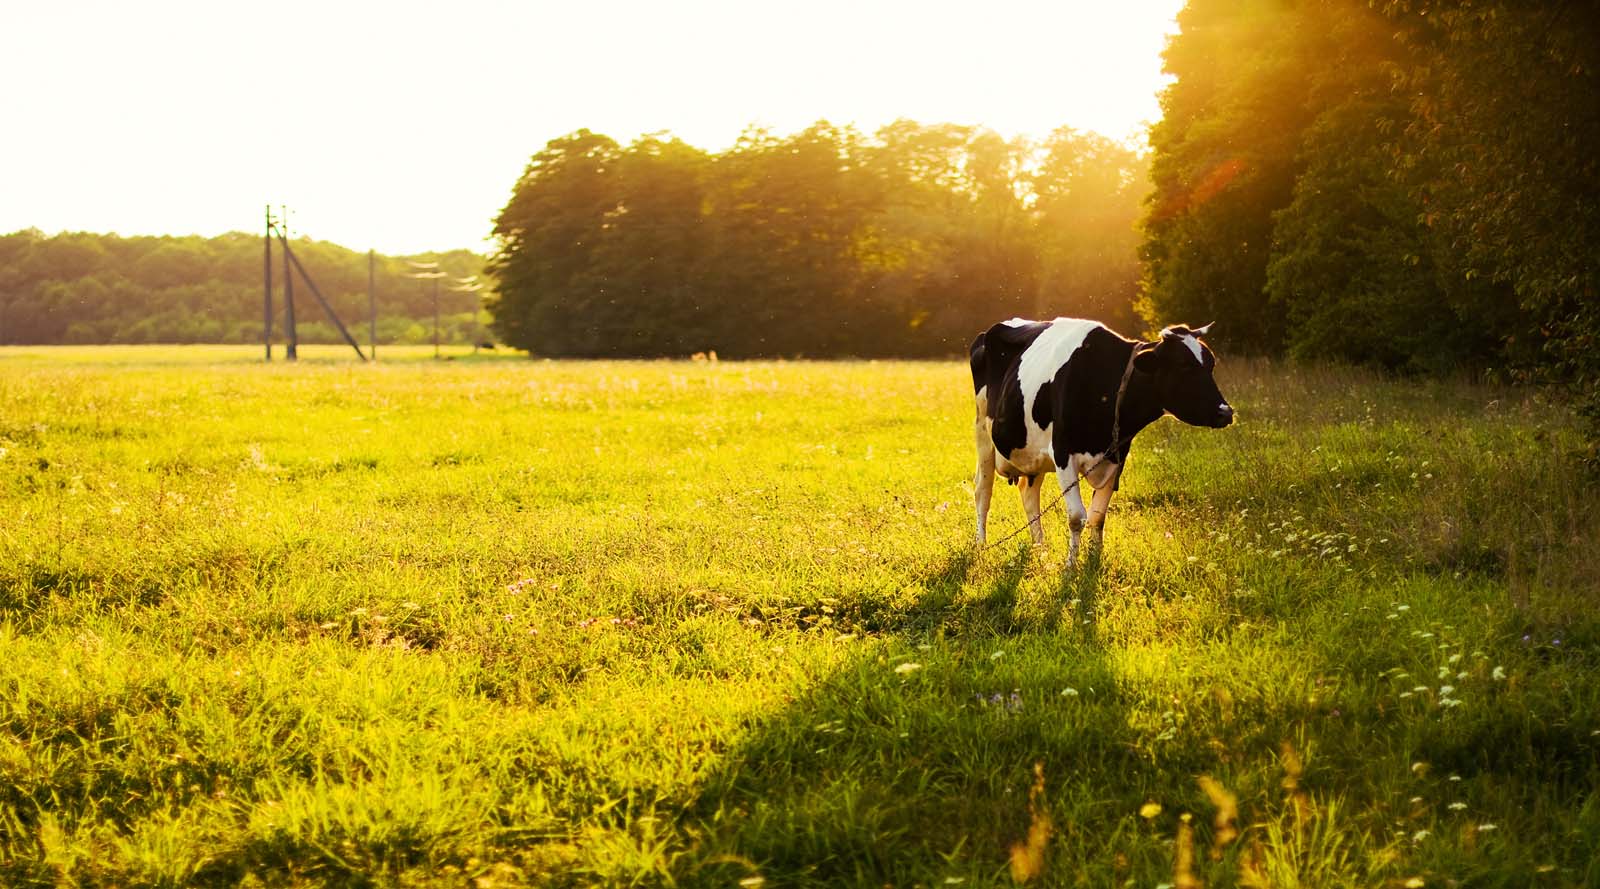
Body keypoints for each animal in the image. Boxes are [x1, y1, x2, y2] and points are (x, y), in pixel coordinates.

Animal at [970, 317, 1234, 567]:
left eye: (1210, 364)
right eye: (1183, 365)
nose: (1226, 412)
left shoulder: (1116, 457)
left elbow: (1097, 517)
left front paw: (1094, 562)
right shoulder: (1062, 454)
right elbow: (1077, 517)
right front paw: (1070, 568)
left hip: (1032, 454)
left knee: (1029, 494)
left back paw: (1040, 549)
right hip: (983, 432)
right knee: (983, 491)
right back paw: (981, 546)